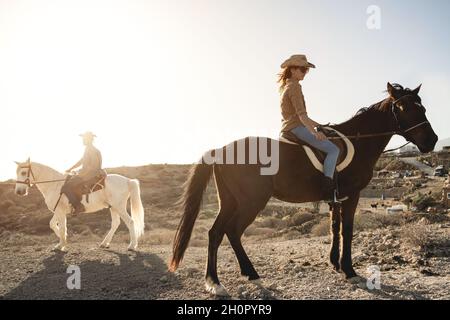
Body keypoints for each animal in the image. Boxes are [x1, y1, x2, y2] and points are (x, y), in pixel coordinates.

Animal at [14, 159, 144, 251]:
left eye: (23, 172)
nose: (19, 192)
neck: (54, 185)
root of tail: (128, 181)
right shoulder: (59, 211)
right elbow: (53, 224)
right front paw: (63, 241)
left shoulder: (60, 211)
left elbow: (62, 228)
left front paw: (61, 244)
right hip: (113, 207)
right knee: (116, 223)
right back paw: (104, 243)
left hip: (119, 207)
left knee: (130, 222)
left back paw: (132, 246)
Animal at [171, 82, 438, 296]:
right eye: (405, 109)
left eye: (423, 108)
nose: (432, 141)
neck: (358, 140)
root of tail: (220, 150)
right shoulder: (352, 196)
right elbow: (347, 230)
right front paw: (349, 270)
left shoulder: (334, 198)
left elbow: (334, 228)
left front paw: (335, 264)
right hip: (250, 202)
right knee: (231, 231)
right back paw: (236, 278)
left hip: (229, 201)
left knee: (216, 232)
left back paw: (221, 280)